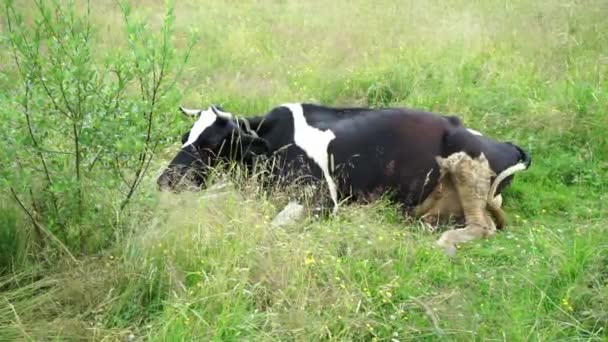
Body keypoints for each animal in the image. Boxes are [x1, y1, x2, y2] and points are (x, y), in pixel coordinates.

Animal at [158, 103, 532, 231]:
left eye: (210, 145)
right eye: (184, 137)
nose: (164, 182)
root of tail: (507, 144)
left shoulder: (321, 199)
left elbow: (272, 226)